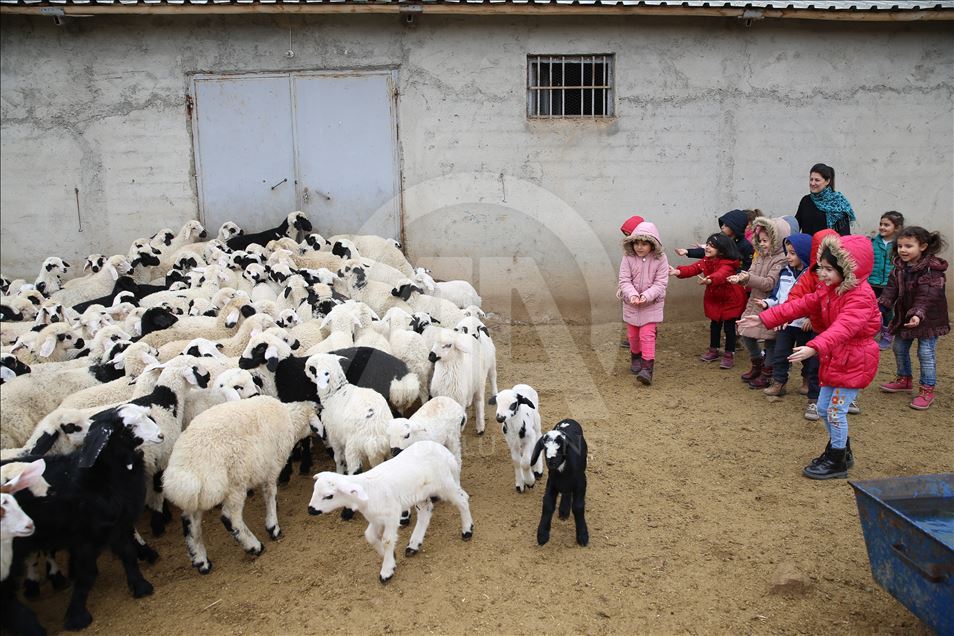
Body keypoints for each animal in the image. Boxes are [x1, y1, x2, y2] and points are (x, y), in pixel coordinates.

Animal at [162, 396, 314, 572]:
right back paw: (254, 546)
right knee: (230, 518)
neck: (290, 419)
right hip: (235, 485)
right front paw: (273, 527)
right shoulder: (271, 468)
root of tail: (186, 468)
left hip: (198, 496)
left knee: (190, 523)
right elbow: (270, 495)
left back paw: (201, 561)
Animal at [304, 440, 472, 584]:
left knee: (463, 500)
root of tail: (445, 452)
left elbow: (387, 541)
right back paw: (414, 545)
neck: (367, 491)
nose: (310, 510)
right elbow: (370, 536)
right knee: (425, 512)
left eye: (329, 496)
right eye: (314, 491)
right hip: (420, 493)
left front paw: (387, 569)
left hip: (445, 484)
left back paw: (467, 530)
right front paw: (390, 557)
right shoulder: (376, 518)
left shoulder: (391, 516)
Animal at [528, 418, 588, 548]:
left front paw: (583, 535)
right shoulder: (551, 484)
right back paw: (564, 510)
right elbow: (548, 505)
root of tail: (568, 419)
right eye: (545, 448)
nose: (551, 462)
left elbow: (578, 507)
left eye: (561, 448)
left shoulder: (581, 484)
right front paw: (542, 535)